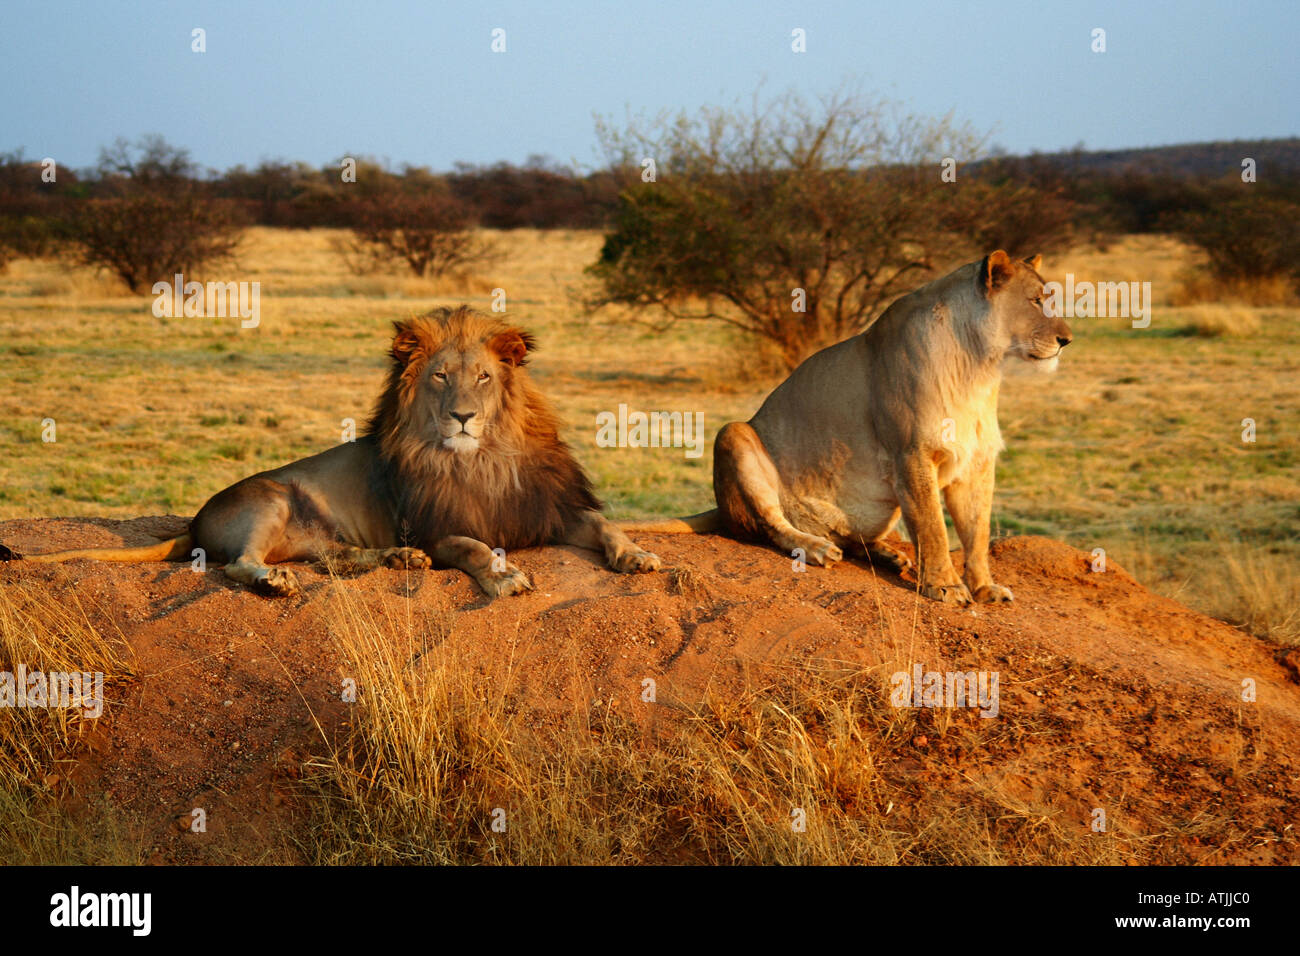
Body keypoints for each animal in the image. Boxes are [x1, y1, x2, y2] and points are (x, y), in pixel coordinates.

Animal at [2, 306, 660, 595]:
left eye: (483, 378)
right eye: (440, 378)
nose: (463, 417)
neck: (483, 460)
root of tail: (192, 523)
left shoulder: (547, 509)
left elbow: (605, 525)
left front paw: (637, 557)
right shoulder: (438, 529)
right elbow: (476, 548)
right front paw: (505, 577)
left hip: (316, 533)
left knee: (333, 560)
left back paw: (396, 560)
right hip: (271, 499)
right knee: (241, 564)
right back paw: (276, 582)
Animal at [626, 251, 1066, 600]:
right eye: (1035, 301)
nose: (1067, 340)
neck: (980, 367)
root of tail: (721, 508)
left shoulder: (975, 463)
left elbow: (977, 534)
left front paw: (985, 588)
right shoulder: (912, 455)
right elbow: (934, 529)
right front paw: (944, 587)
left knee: (855, 539)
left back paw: (889, 555)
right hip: (733, 433)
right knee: (770, 524)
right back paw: (815, 548)